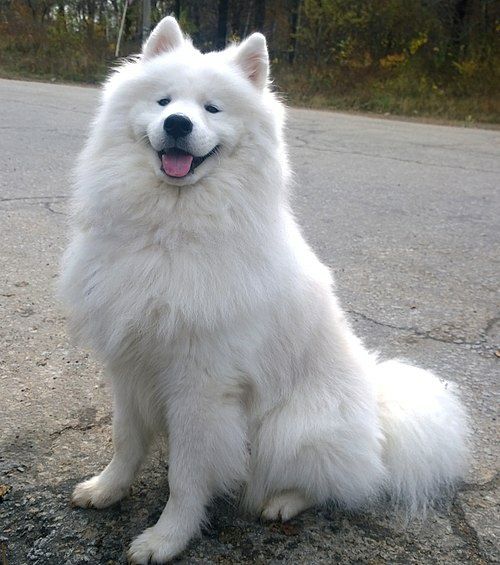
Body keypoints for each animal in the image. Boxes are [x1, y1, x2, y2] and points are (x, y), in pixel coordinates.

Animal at [59, 16, 469, 564]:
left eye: (212, 108)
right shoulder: (128, 363)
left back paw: (282, 502)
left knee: (339, 483)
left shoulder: (201, 385)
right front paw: (107, 490)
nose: (178, 125)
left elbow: (186, 477)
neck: (170, 228)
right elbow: (126, 441)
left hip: (290, 428)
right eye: (164, 101)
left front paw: (167, 538)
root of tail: (379, 419)